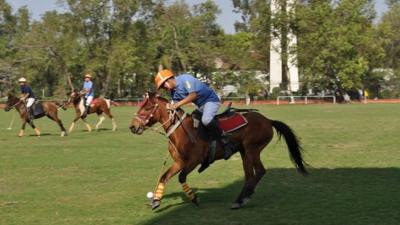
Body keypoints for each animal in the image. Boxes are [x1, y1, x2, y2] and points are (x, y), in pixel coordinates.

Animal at [129, 92, 306, 210]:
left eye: (148, 107)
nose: (132, 127)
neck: (181, 131)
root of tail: (268, 121)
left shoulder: (194, 160)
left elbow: (181, 177)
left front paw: (194, 198)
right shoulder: (179, 161)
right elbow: (164, 177)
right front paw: (156, 200)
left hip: (252, 149)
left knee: (260, 171)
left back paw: (244, 198)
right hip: (244, 152)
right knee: (250, 175)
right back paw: (240, 200)